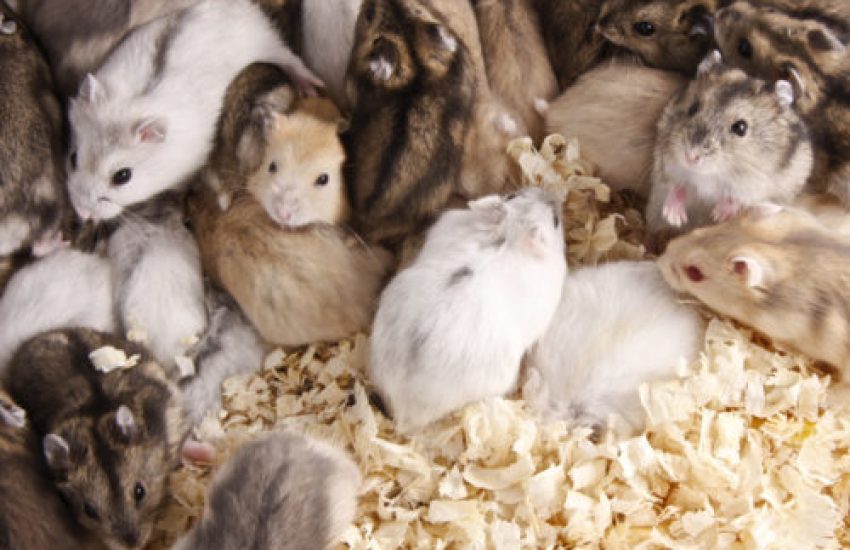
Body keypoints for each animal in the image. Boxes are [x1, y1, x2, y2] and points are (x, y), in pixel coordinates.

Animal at [65, 0, 322, 222]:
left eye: (123, 176)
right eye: (73, 158)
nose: (81, 213)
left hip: (266, 42)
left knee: (291, 59)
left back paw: (311, 87)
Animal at [646, 51, 813, 238]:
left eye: (741, 127)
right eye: (693, 108)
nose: (690, 157)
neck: (712, 173)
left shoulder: (756, 185)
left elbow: (737, 198)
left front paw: (718, 215)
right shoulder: (668, 163)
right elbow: (677, 186)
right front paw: (674, 217)